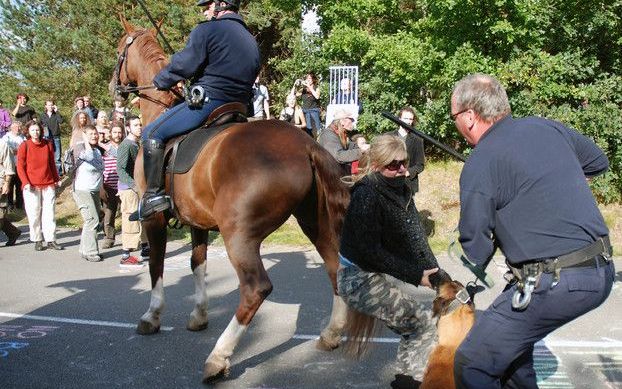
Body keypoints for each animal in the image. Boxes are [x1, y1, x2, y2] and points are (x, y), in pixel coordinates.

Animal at [111, 17, 352, 382]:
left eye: (119, 52)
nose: (114, 87)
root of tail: (306, 144)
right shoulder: (196, 220)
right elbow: (197, 263)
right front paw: (199, 315)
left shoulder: (154, 218)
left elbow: (157, 265)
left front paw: (152, 316)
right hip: (313, 221)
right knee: (335, 268)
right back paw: (331, 333)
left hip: (239, 233)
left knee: (255, 289)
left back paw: (218, 358)